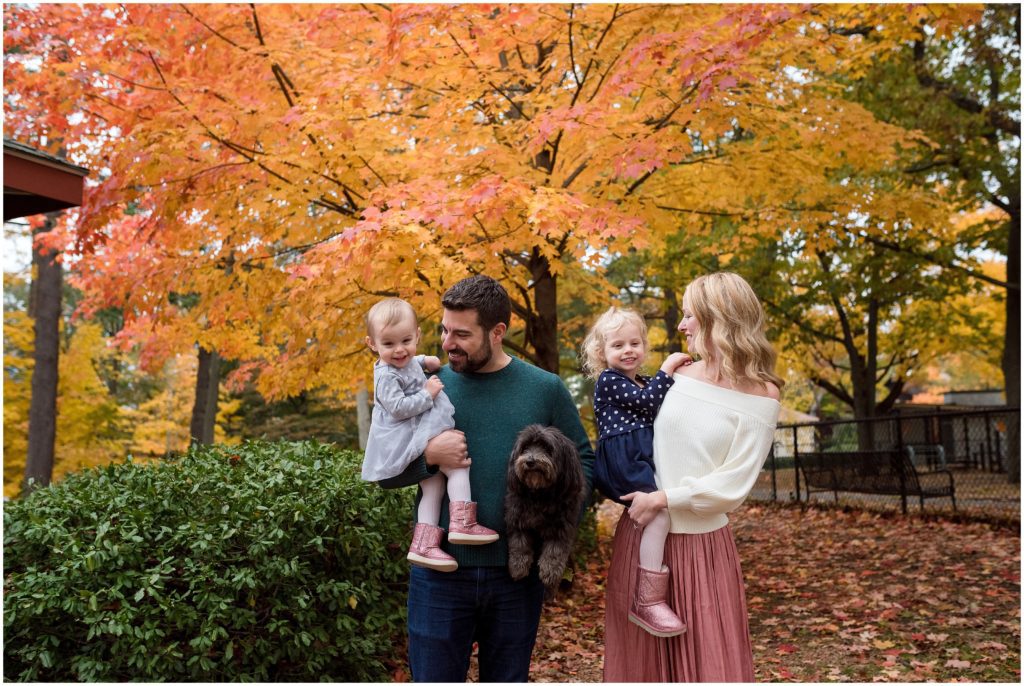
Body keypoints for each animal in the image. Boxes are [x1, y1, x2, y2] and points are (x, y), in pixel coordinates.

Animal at [501, 423, 585, 589]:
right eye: (525, 447)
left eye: (547, 448)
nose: (530, 461)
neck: (539, 495)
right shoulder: (516, 516)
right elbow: (519, 543)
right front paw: (518, 566)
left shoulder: (563, 525)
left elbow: (555, 550)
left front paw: (550, 571)